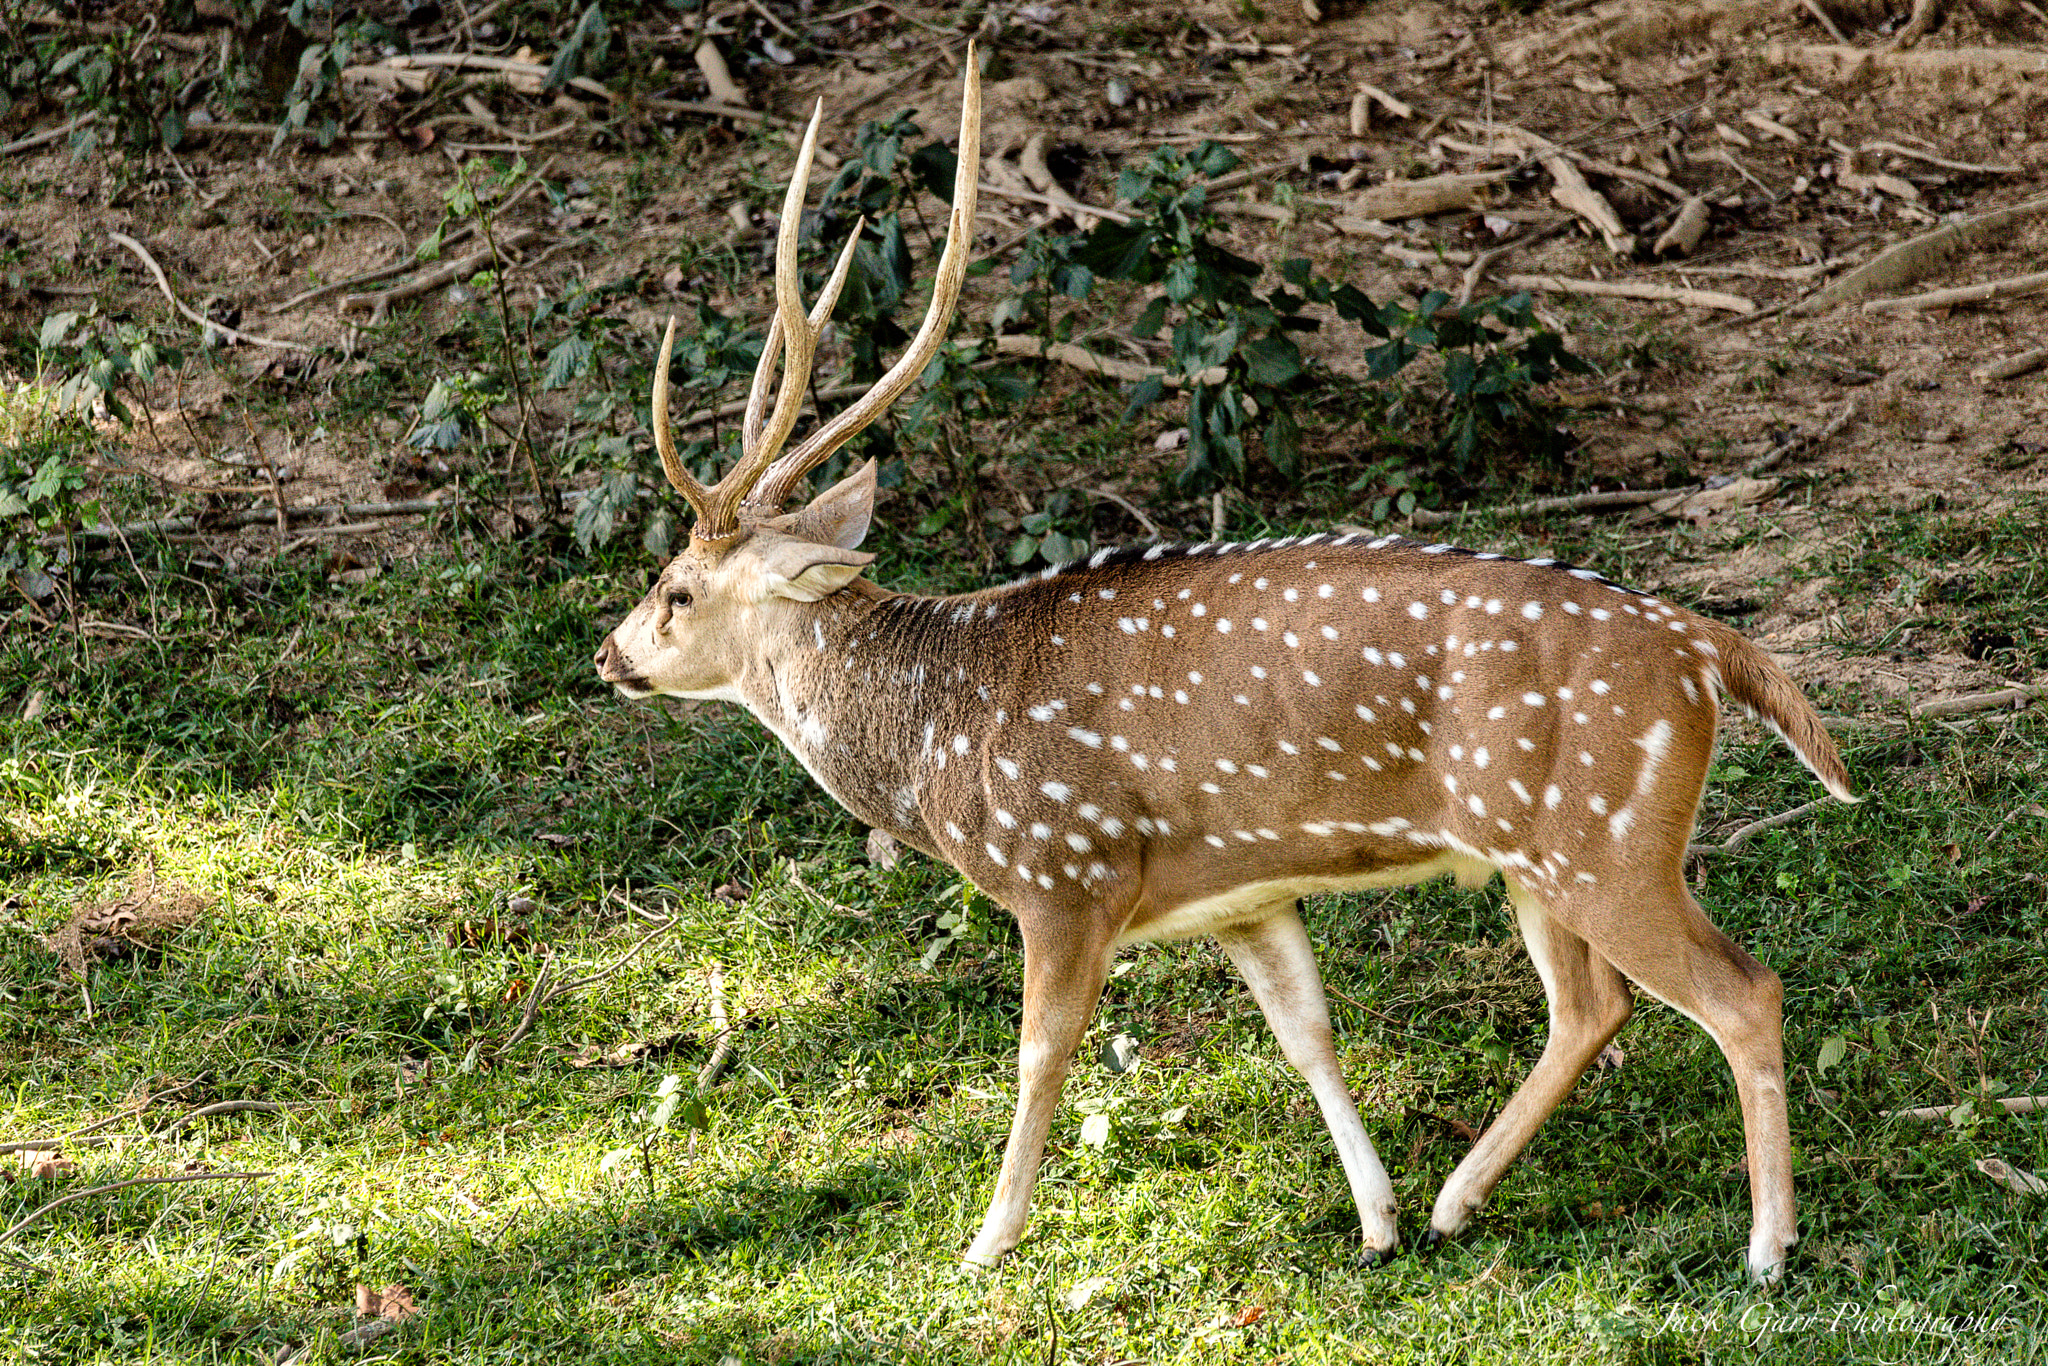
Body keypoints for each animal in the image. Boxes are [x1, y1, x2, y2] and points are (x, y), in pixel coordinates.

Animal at [593, 54, 1858, 1286]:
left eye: (676, 589)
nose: (609, 653)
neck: (935, 744)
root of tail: (1708, 651)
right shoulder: (1242, 889)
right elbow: (1306, 1033)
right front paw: (1374, 1218)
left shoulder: (1065, 872)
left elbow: (1039, 1051)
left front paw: (984, 1243)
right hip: (1537, 853)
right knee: (1588, 1007)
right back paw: (1454, 1202)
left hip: (1604, 837)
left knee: (1737, 990)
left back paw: (1764, 1247)